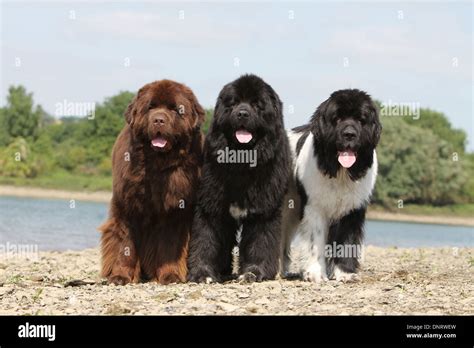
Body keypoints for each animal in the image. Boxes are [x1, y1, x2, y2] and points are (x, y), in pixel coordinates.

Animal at [100, 79, 204, 286]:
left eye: (175, 109)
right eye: (150, 107)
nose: (159, 120)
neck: (157, 166)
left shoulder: (175, 212)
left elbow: (170, 247)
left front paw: (170, 276)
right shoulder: (126, 206)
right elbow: (125, 245)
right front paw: (120, 276)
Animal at [187, 74, 290, 282]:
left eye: (257, 104)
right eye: (233, 103)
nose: (242, 113)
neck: (242, 162)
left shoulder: (263, 209)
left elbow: (260, 241)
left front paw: (254, 272)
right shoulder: (211, 204)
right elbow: (206, 238)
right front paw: (203, 272)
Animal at [282, 89, 382, 282]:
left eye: (361, 119)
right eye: (337, 118)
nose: (349, 134)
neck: (341, 172)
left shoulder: (352, 209)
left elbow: (347, 240)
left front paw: (345, 273)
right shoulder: (315, 207)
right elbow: (315, 240)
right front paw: (315, 273)